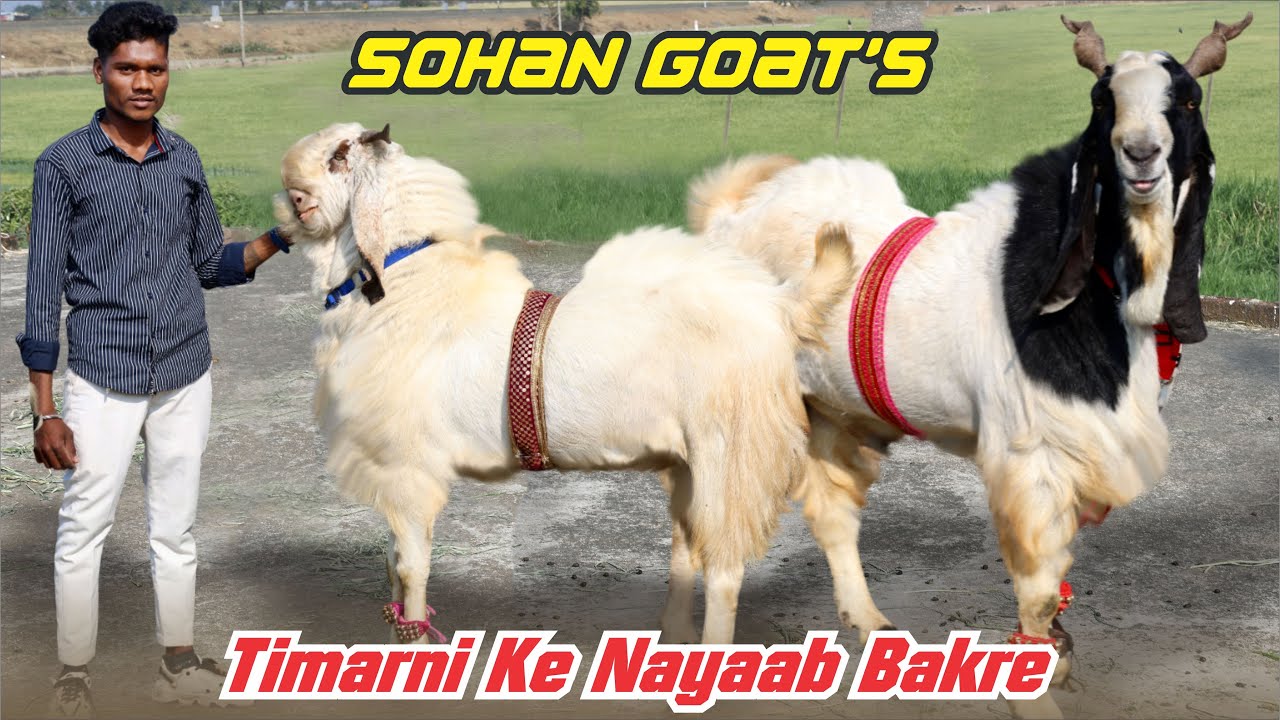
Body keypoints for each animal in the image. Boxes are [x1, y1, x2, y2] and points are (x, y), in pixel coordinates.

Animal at [272, 123, 855, 645]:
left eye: (338, 156)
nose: (290, 197)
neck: (408, 287)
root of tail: (779, 303)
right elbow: (393, 561)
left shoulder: (407, 466)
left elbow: (411, 568)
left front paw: (413, 643)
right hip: (691, 461)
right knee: (687, 549)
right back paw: (673, 634)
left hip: (731, 455)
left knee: (725, 570)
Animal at [687, 12, 1251, 698]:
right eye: (1103, 101)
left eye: (1188, 100)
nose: (1141, 153)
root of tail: (725, 219)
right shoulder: (1027, 456)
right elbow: (1036, 592)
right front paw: (1036, 664)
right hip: (739, 414)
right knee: (714, 532)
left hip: (833, 412)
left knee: (829, 513)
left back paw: (871, 625)